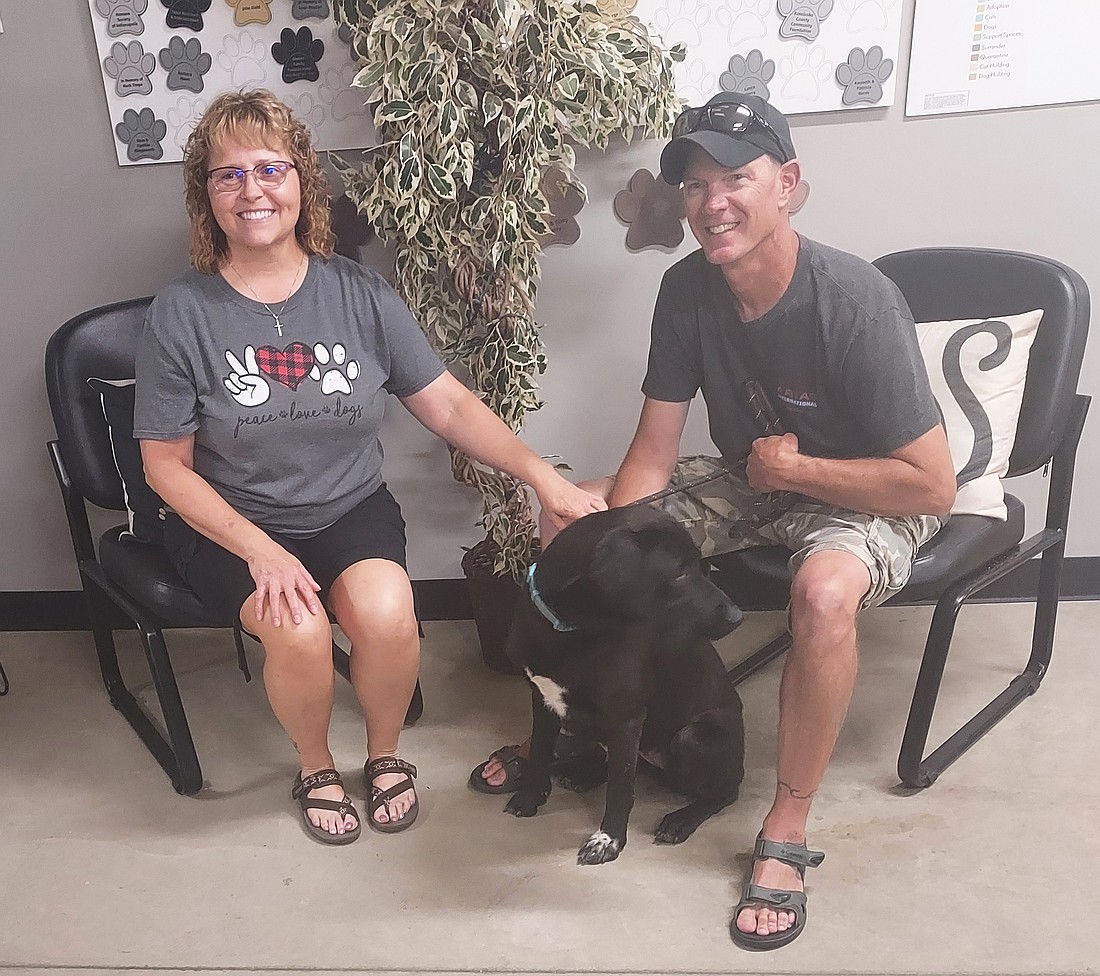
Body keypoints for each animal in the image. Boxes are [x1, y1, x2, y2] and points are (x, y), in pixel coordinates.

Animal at [503, 503, 748, 862]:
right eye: (679, 573)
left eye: (701, 568)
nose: (737, 617)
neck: (572, 631)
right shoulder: (542, 697)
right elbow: (539, 752)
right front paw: (530, 796)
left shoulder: (626, 718)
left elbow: (620, 788)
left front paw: (609, 840)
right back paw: (584, 773)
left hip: (694, 739)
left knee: (725, 792)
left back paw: (681, 819)